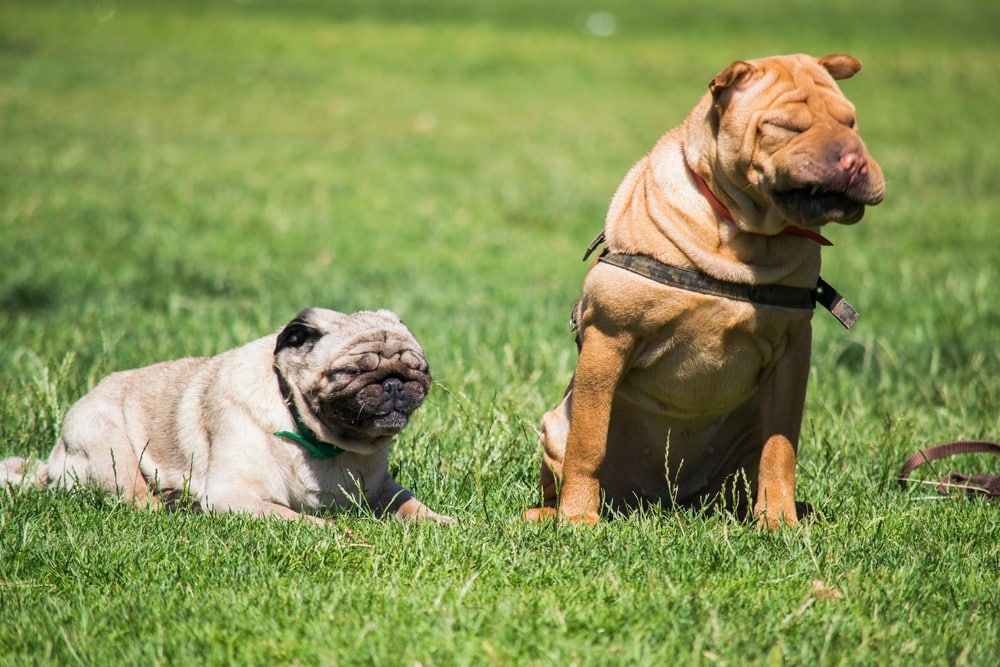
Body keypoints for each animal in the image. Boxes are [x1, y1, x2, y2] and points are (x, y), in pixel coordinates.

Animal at [1, 310, 452, 524]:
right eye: (351, 372)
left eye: (418, 369)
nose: (393, 383)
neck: (325, 445)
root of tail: (53, 460)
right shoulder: (233, 495)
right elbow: (291, 517)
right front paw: (329, 529)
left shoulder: (383, 490)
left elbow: (412, 506)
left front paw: (444, 522)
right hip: (106, 443)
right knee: (137, 499)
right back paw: (174, 504)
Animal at [524, 53, 884, 528]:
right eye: (786, 126)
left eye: (851, 122)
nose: (854, 162)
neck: (742, 237)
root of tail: (666, 499)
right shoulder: (609, 338)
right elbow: (589, 442)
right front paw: (578, 518)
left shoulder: (792, 355)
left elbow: (781, 449)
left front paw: (779, 521)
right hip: (556, 425)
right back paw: (549, 512)